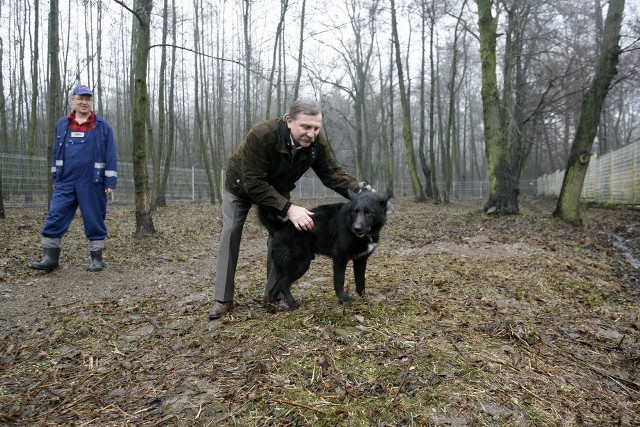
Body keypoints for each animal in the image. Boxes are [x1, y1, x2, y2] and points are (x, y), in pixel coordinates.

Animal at [258, 189, 390, 312]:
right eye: (355, 211)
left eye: (369, 212)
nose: (356, 228)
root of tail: (280, 227)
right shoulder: (340, 257)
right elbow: (339, 280)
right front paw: (343, 299)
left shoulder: (361, 260)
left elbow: (360, 281)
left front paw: (363, 298)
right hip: (301, 264)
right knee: (283, 284)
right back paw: (293, 304)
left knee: (274, 289)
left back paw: (272, 308)